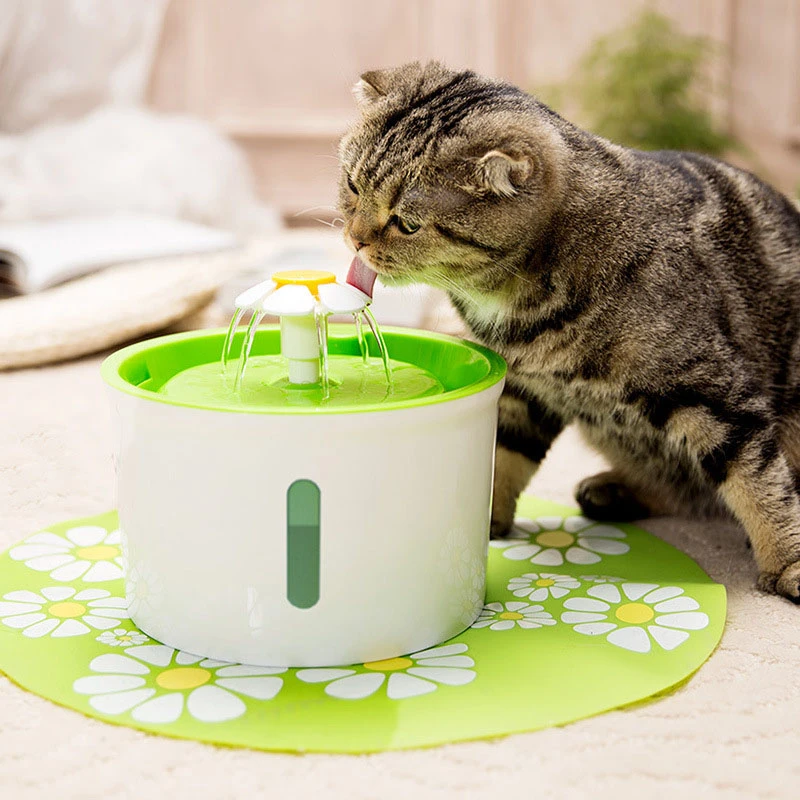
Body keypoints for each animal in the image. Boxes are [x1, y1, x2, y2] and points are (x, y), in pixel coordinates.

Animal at [338, 61, 800, 603]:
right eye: (352, 185)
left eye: (407, 224)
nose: (354, 238)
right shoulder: (524, 393)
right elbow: (501, 461)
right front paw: (483, 524)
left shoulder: (711, 390)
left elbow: (757, 479)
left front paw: (787, 561)